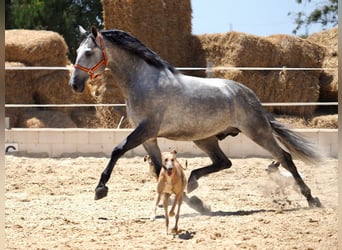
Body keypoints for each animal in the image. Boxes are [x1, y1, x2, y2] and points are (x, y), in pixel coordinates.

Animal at [68, 26, 322, 208]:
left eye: (88, 53)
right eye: (77, 53)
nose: (74, 85)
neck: (144, 81)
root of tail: (248, 94)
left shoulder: (145, 130)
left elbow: (117, 150)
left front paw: (100, 189)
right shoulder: (149, 138)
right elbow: (159, 170)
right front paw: (195, 204)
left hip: (257, 131)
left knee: (285, 158)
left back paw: (311, 199)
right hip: (205, 138)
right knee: (224, 162)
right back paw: (192, 183)